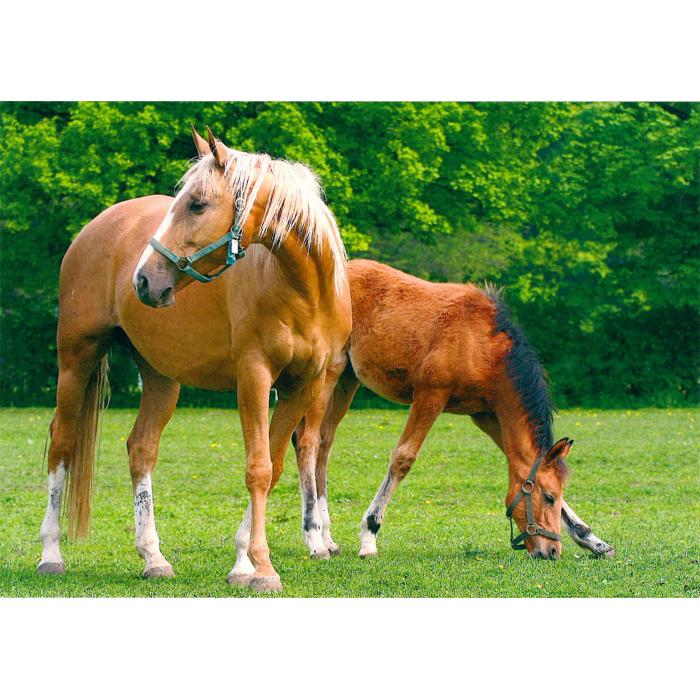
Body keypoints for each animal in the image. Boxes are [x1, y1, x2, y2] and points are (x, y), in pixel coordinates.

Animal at [38, 127, 352, 592]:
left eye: (197, 203)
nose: (143, 279)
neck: (306, 292)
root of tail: (97, 226)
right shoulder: (254, 377)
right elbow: (258, 468)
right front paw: (263, 568)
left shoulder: (303, 386)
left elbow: (274, 466)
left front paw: (243, 563)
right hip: (77, 358)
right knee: (62, 443)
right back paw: (51, 554)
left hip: (160, 377)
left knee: (141, 449)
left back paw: (153, 558)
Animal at [295, 259, 615, 560]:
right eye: (547, 497)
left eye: (557, 497)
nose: (551, 552)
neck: (482, 345)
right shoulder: (431, 396)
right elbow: (402, 458)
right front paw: (369, 534)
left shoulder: (487, 415)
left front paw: (593, 540)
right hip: (328, 376)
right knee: (308, 442)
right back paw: (315, 538)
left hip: (347, 381)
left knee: (323, 446)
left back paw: (327, 538)